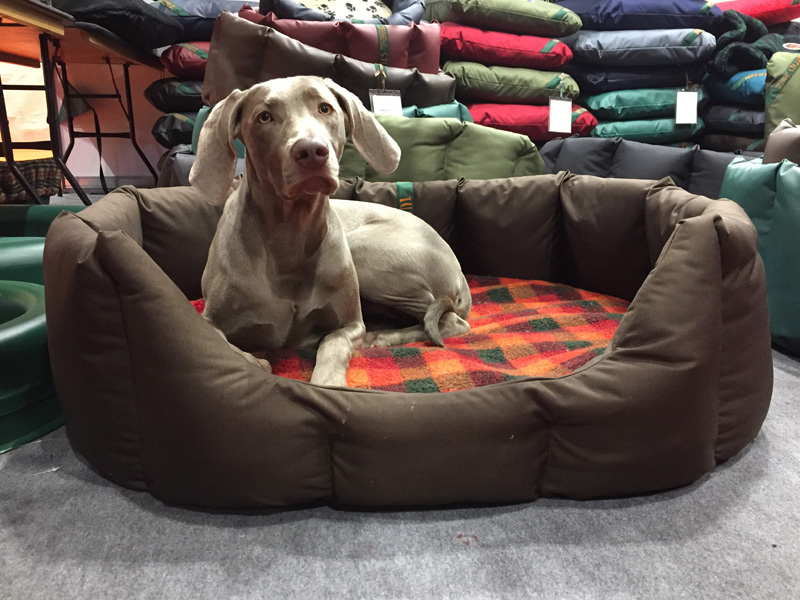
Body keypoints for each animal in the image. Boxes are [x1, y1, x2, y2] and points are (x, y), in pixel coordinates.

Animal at [191, 75, 472, 386]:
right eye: (264, 117)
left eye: (325, 108)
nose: (312, 151)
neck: (290, 235)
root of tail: (461, 274)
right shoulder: (208, 319)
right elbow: (218, 342)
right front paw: (257, 363)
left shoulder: (351, 325)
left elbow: (332, 344)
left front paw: (328, 384)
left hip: (364, 253)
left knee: (449, 320)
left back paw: (382, 336)